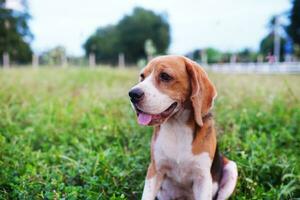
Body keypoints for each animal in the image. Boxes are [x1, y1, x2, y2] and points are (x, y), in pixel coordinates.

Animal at [127, 55, 238, 200]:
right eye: (142, 76)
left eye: (165, 76)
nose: (132, 94)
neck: (177, 127)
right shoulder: (155, 170)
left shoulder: (202, 177)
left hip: (231, 168)